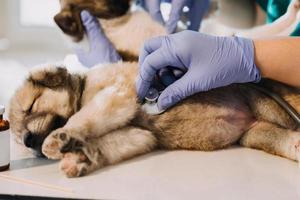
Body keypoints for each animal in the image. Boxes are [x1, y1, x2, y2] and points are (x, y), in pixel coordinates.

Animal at [8, 0, 300, 177]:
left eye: (32, 106)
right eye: (20, 136)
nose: (29, 141)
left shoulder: (114, 96)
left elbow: (84, 117)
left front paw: (61, 137)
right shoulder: (138, 134)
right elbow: (106, 144)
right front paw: (79, 158)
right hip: (256, 132)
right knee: (282, 138)